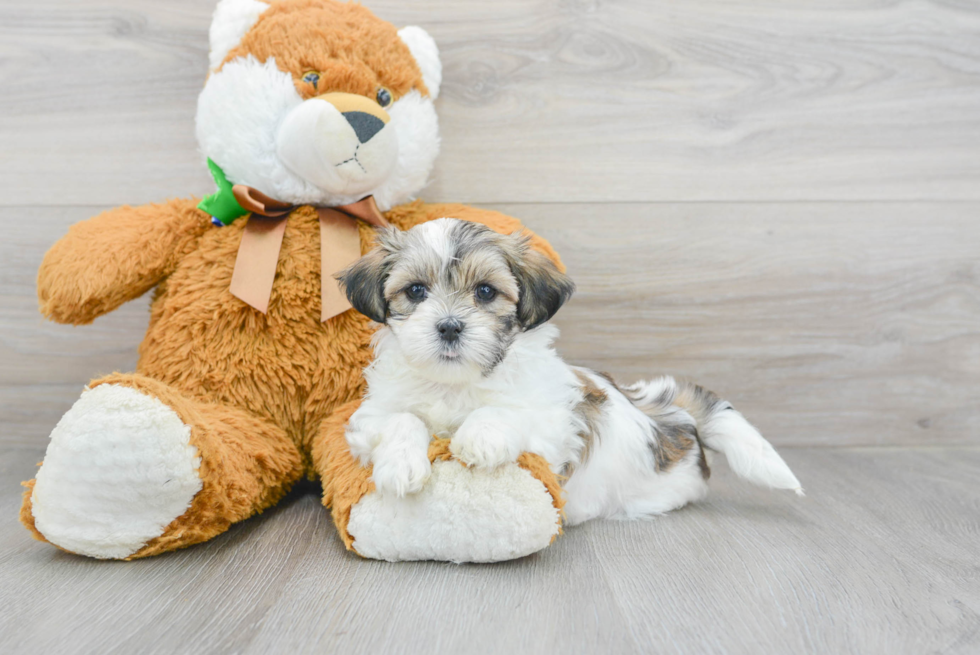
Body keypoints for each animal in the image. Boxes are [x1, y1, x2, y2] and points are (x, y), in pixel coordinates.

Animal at [340, 218, 800, 524]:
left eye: (485, 292)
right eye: (416, 291)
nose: (450, 326)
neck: (457, 384)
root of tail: (669, 409)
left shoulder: (551, 426)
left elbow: (507, 412)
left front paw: (480, 437)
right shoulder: (369, 417)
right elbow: (400, 419)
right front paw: (400, 466)